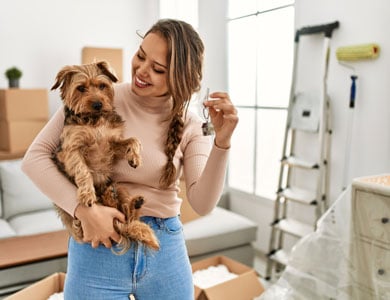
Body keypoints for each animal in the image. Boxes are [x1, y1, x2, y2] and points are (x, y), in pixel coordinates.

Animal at [51, 61, 158, 253]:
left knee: (125, 214)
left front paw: (135, 158)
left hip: (120, 186)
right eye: (81, 88)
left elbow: (133, 140)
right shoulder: (71, 149)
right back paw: (109, 198)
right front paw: (87, 194)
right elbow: (82, 170)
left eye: (102, 86)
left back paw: (131, 202)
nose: (98, 104)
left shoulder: (113, 142)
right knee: (118, 218)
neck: (94, 120)